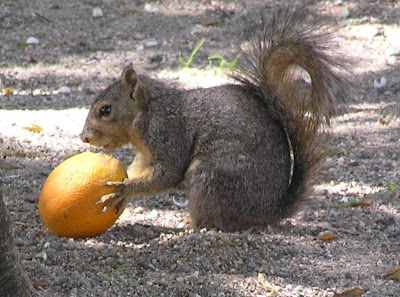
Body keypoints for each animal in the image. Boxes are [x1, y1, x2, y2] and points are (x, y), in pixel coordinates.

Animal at [80, 5, 346, 230]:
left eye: (105, 110)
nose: (84, 137)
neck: (149, 112)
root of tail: (269, 212)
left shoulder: (168, 134)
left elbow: (169, 172)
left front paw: (123, 190)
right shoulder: (145, 156)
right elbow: (138, 169)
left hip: (211, 177)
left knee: (214, 221)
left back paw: (189, 226)